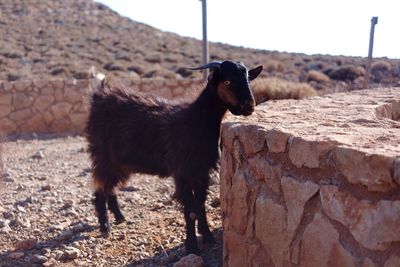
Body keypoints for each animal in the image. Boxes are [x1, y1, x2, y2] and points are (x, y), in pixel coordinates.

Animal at [85, 60, 262, 255]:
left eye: (248, 79)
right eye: (227, 82)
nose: (249, 106)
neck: (195, 121)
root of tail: (99, 96)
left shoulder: (201, 172)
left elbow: (200, 205)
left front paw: (207, 236)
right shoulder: (183, 172)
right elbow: (190, 211)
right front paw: (192, 247)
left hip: (121, 163)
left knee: (110, 187)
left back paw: (119, 217)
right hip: (104, 157)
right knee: (100, 187)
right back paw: (105, 226)